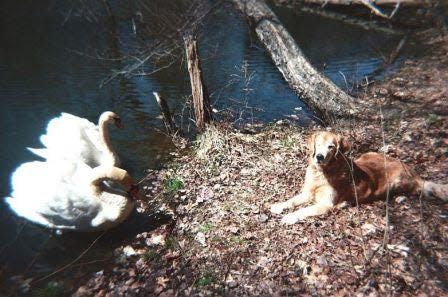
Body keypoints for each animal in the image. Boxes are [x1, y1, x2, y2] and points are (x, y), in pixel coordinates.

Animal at [270, 131, 448, 223]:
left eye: (331, 147)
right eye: (318, 144)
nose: (319, 156)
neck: (321, 173)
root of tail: (410, 169)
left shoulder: (325, 204)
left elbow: (303, 210)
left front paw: (290, 216)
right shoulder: (307, 192)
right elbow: (292, 200)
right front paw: (279, 206)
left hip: (399, 181)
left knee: (416, 189)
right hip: (368, 154)